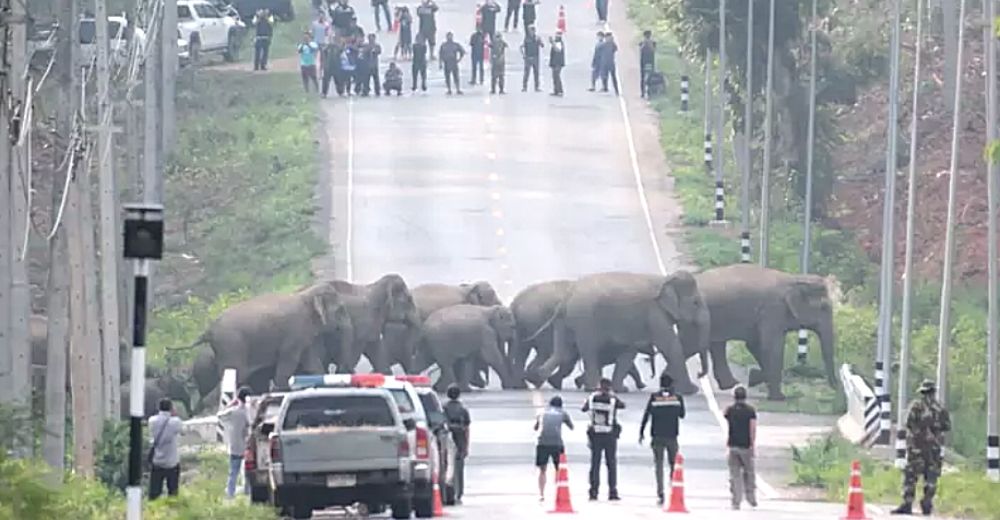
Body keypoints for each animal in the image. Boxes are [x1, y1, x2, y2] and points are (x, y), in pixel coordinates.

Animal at [184, 280, 356, 406]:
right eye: (340, 310)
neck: (306, 295)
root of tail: (208, 331)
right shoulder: (293, 333)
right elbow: (289, 360)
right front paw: (282, 391)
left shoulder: (303, 335)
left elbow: (311, 360)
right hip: (232, 346)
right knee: (235, 375)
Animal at [508, 280, 648, 390]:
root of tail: (516, 302)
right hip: (537, 321)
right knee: (543, 353)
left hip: (526, 325)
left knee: (523, 351)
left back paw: (523, 383)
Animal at [532, 272, 712, 394]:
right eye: (695, 303)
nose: (699, 374)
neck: (665, 280)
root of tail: (568, 296)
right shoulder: (655, 314)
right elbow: (670, 346)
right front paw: (691, 391)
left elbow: (628, 353)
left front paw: (621, 389)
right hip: (585, 319)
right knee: (589, 351)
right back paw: (592, 388)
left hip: (565, 320)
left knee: (562, 351)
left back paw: (543, 380)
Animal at [692, 266, 840, 400]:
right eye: (824, 307)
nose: (835, 390)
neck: (794, 279)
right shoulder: (772, 311)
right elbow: (772, 347)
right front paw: (779, 397)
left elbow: (755, 345)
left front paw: (754, 377)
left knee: (718, 345)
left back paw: (731, 384)